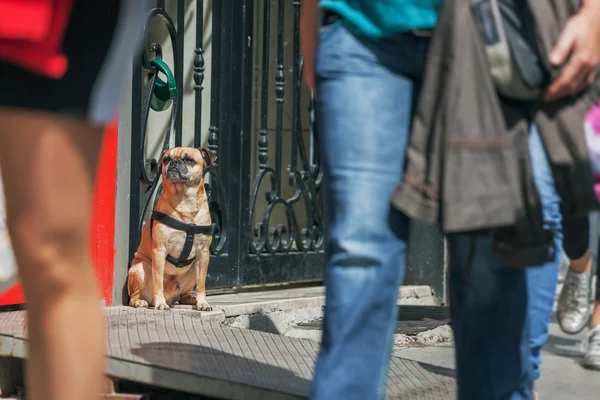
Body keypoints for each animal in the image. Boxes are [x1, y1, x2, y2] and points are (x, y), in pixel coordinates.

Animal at [127, 146, 217, 310]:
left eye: (189, 160)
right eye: (166, 159)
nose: (174, 162)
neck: (185, 201)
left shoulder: (203, 254)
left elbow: (201, 283)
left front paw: (202, 302)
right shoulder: (160, 250)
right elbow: (158, 282)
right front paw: (160, 303)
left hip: (193, 269)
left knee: (183, 296)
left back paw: (192, 299)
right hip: (141, 268)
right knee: (135, 296)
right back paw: (141, 301)